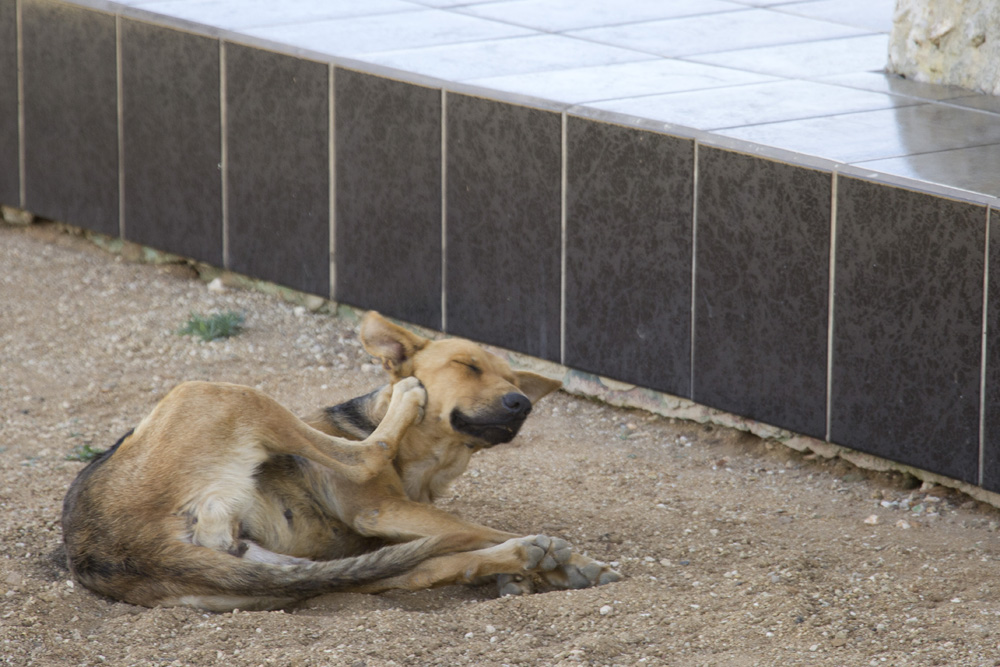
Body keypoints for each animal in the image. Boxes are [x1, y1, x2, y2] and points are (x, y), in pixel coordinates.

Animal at [60, 312, 616, 612]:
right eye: (468, 365)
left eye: (517, 383)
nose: (521, 404)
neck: (430, 465)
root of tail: (113, 547)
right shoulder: (379, 510)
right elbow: (472, 525)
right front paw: (567, 561)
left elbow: (456, 541)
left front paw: (543, 570)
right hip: (220, 391)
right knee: (368, 457)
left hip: (285, 571)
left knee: (409, 570)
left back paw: (525, 558)